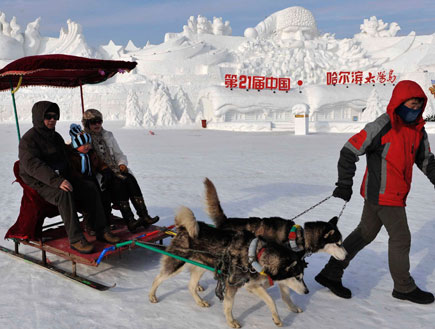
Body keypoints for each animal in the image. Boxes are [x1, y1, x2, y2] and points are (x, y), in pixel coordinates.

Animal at [150, 206, 310, 326]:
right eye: (297, 277)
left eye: (302, 276)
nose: (307, 291)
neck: (257, 256)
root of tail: (183, 228)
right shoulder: (234, 284)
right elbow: (229, 305)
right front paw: (231, 321)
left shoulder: (252, 285)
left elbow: (272, 298)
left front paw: (280, 316)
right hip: (177, 263)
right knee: (158, 278)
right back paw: (152, 296)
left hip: (200, 267)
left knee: (191, 286)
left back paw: (200, 301)